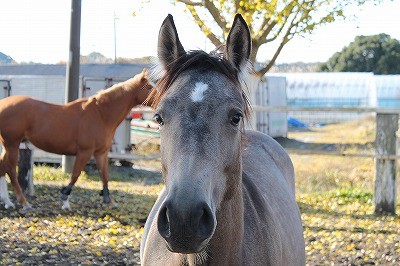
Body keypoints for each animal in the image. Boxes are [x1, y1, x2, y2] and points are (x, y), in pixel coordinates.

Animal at [0, 68, 152, 210]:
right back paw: (24, 203)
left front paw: (110, 201)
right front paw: (65, 200)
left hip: (8, 145)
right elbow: (75, 174)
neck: (101, 114)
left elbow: (104, 176)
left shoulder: (101, 153)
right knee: (11, 170)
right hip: (12, 144)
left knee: (3, 166)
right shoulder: (85, 152)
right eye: (150, 87)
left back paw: (8, 202)